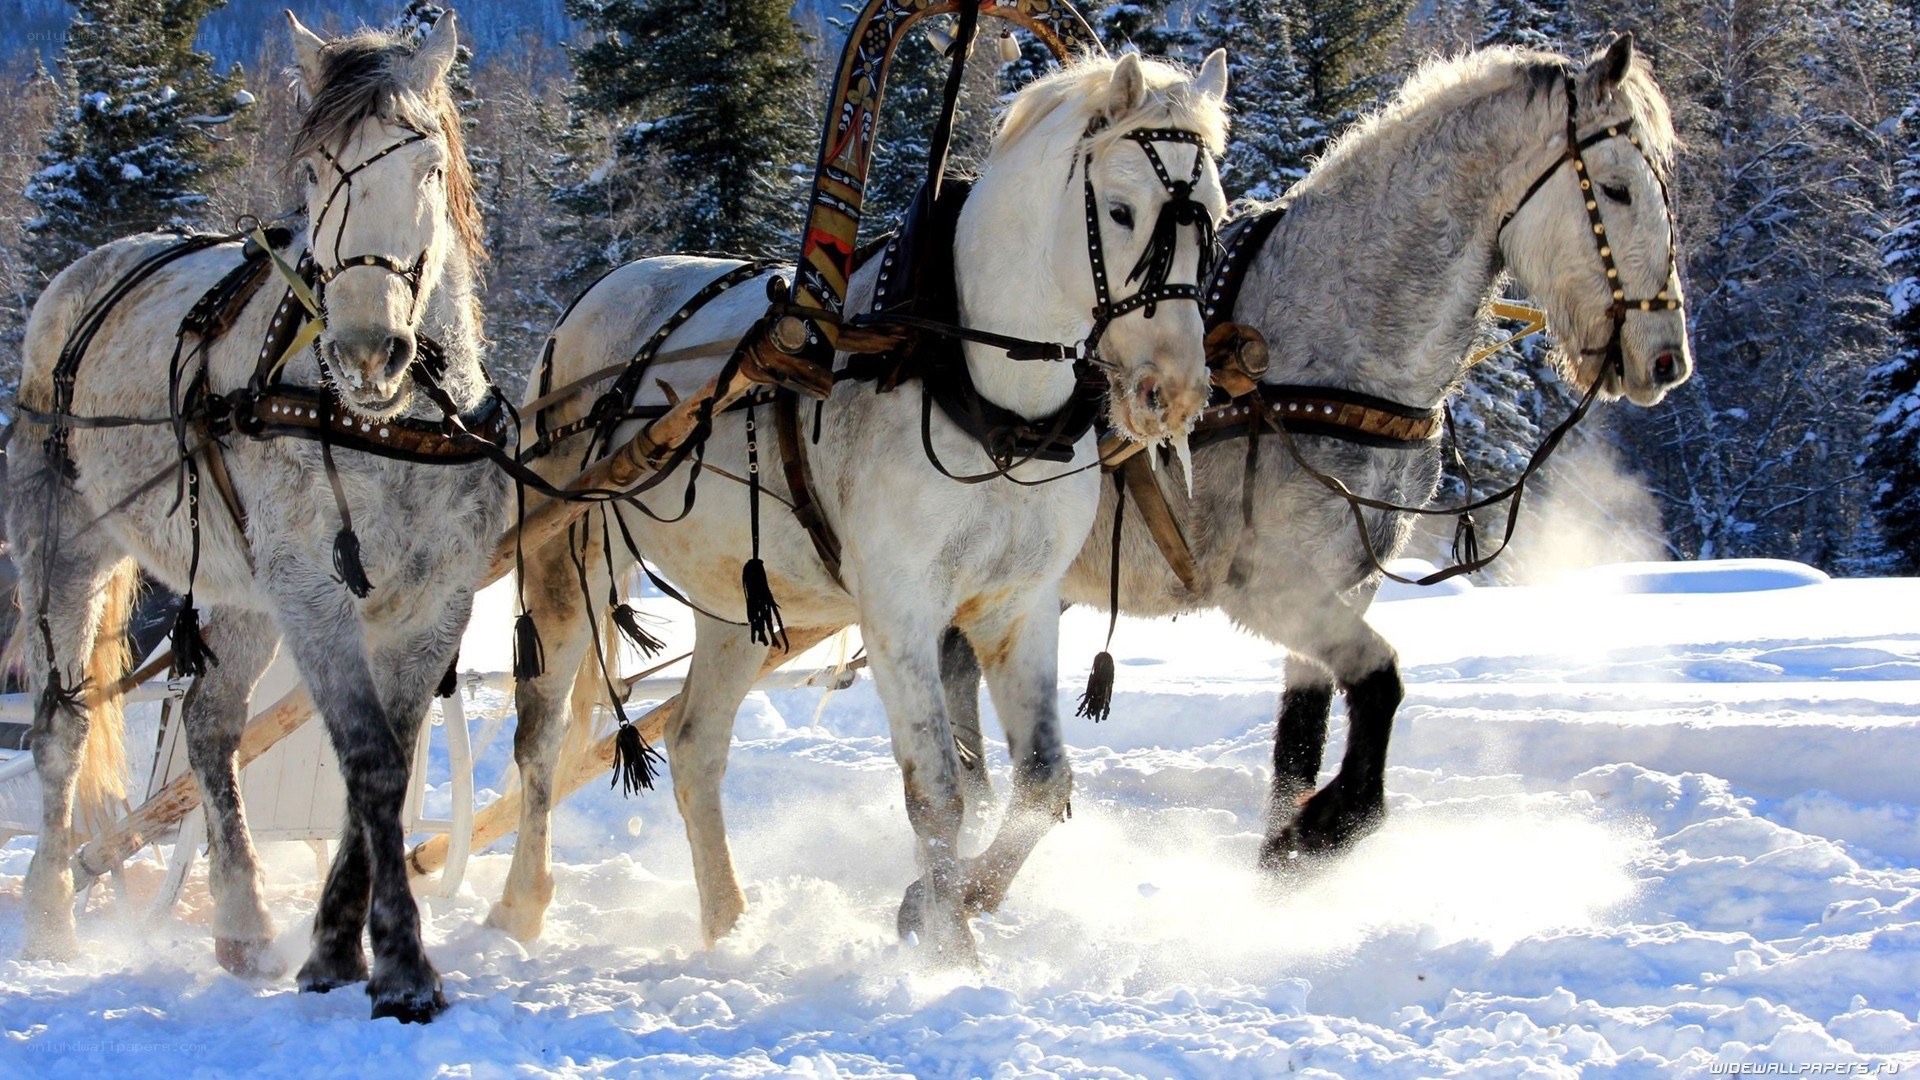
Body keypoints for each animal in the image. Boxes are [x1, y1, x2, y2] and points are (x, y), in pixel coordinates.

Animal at [7, 15, 505, 1022]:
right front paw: (398, 965)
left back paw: (240, 922)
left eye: (427, 163)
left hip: (235, 587)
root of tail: (83, 275)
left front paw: (333, 949)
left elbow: (382, 765)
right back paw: (49, 915)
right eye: (314, 169)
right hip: (61, 549)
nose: (366, 349)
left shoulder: (433, 602)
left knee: (208, 722)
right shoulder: (313, 590)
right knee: (61, 732)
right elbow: (371, 759)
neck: (385, 422)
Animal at [495, 51, 1231, 966]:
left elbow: (1041, 783)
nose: (1175, 392)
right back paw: (519, 909)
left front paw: (957, 900)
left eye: (1216, 219)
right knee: (539, 739)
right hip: (570, 559)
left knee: (695, 746)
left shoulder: (1018, 608)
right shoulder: (900, 608)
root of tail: (594, 295)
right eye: (1124, 210)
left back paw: (728, 921)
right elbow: (939, 792)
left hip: (741, 603)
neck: (982, 395)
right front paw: (949, 950)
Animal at [943, 35, 1694, 868]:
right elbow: (1380, 684)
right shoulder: (1269, 584)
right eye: (1618, 188)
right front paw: (1331, 823)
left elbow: (1300, 742)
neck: (1332, 344)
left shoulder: (1344, 582)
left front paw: (1282, 859)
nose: (1666, 357)